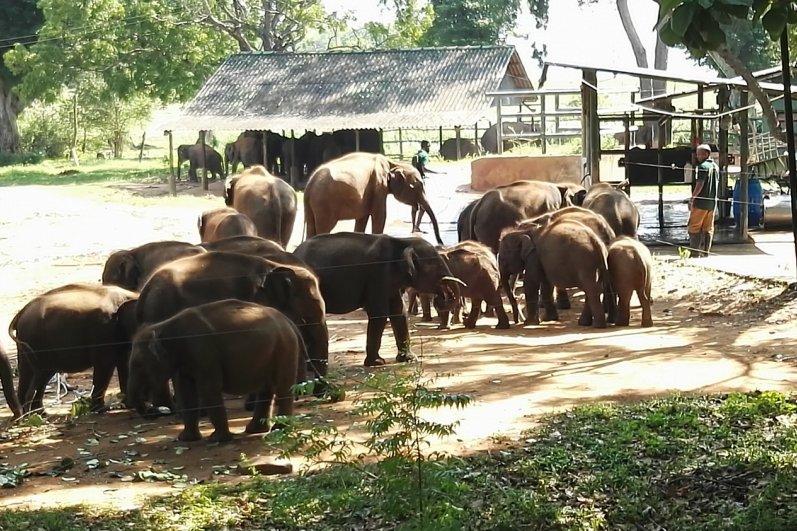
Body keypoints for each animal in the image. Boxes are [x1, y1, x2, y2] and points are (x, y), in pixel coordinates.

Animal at [8, 283, 139, 414]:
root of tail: (21, 313)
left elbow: (124, 363)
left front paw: (127, 405)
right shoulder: (105, 331)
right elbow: (105, 365)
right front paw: (103, 409)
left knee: (42, 375)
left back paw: (40, 413)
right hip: (33, 341)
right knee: (34, 375)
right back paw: (27, 415)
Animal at [128, 299, 305, 442]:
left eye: (138, 365)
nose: (152, 412)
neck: (164, 327)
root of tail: (288, 320)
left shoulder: (204, 352)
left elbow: (208, 389)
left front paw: (217, 439)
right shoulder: (184, 361)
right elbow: (186, 392)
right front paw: (185, 439)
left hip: (285, 348)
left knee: (282, 388)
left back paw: (280, 429)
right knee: (266, 389)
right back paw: (255, 430)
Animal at [294, 232, 464, 367]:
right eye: (436, 266)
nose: (441, 297)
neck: (403, 241)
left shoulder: (391, 282)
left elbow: (399, 312)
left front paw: (409, 359)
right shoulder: (378, 274)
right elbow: (379, 313)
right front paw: (376, 363)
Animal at [303, 152, 444, 245]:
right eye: (415, 187)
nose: (440, 242)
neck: (392, 164)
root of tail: (309, 184)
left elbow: (362, 218)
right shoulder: (379, 186)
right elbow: (380, 216)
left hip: (312, 206)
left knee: (311, 228)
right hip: (324, 205)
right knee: (323, 229)